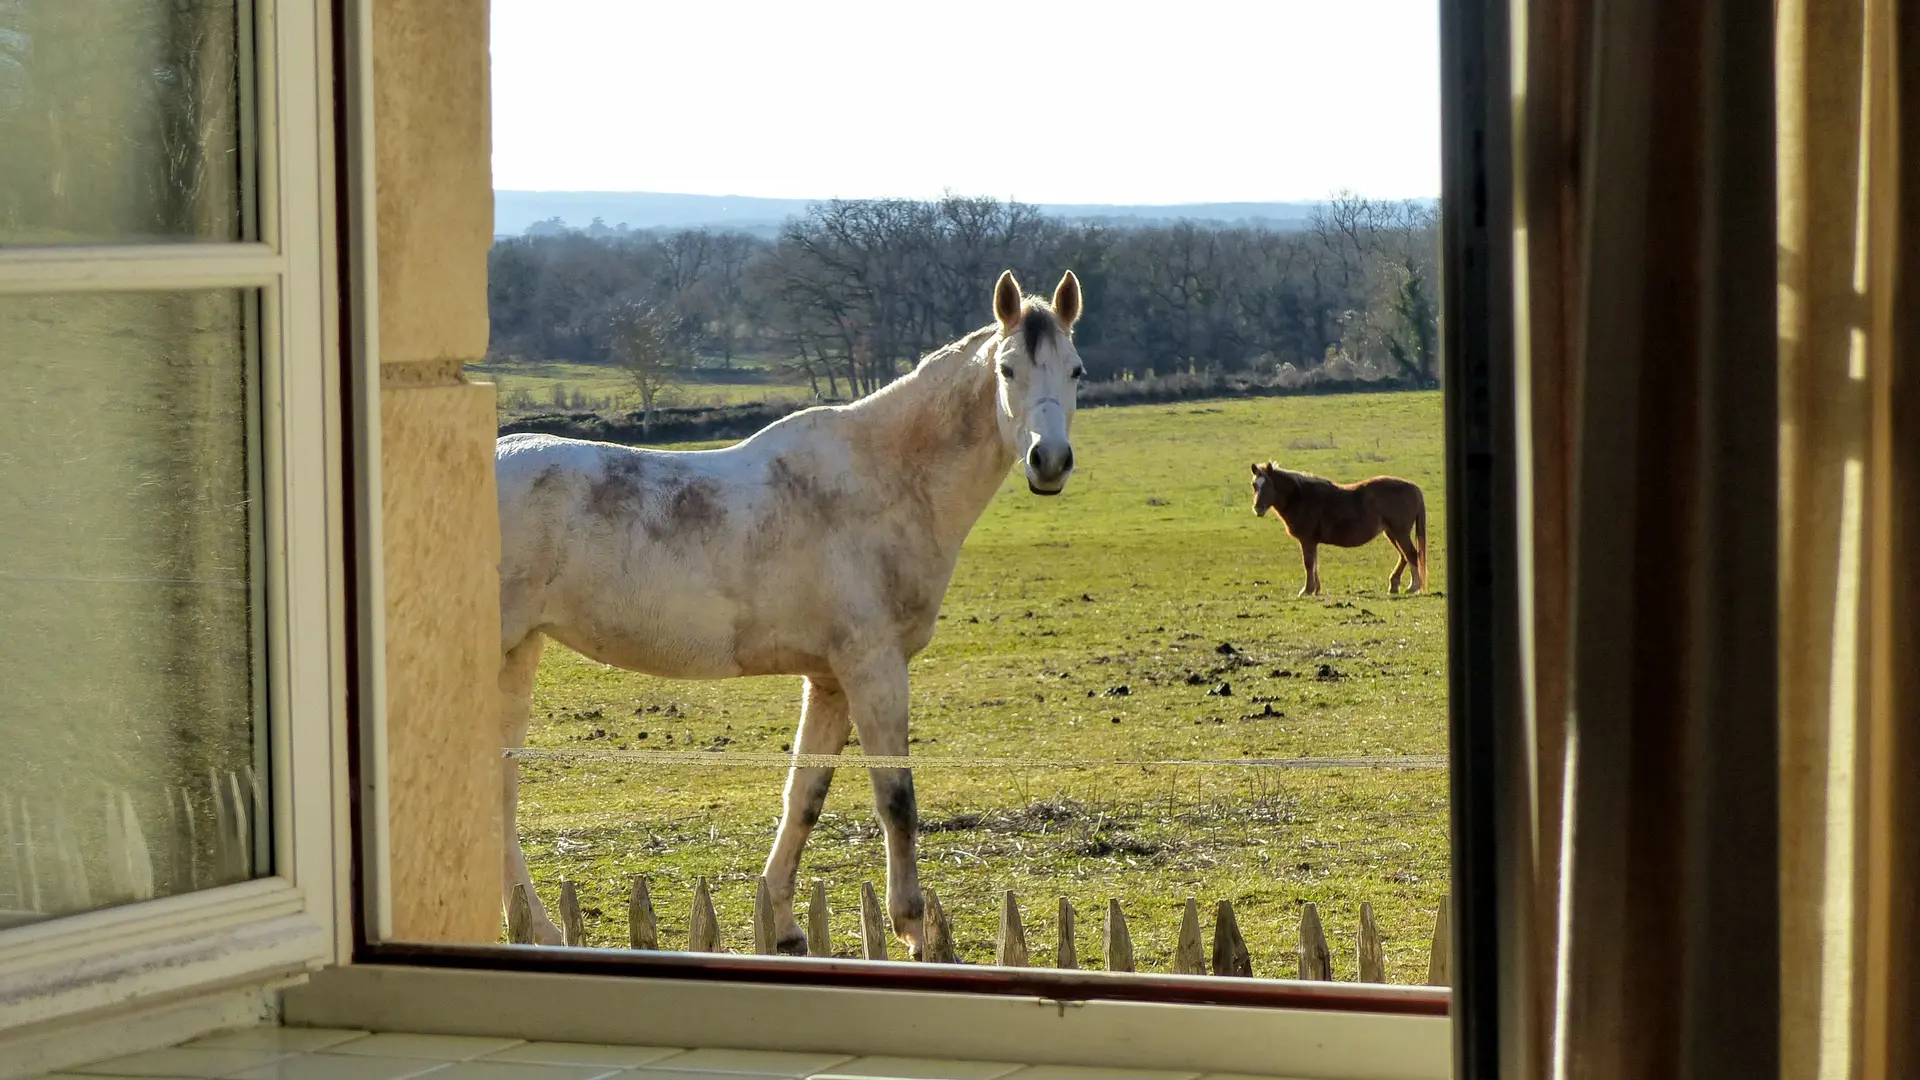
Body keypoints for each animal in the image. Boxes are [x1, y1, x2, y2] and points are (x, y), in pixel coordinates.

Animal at [495, 269, 1090, 949]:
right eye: (1008, 369)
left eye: (1075, 370)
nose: (1049, 461)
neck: (881, 482)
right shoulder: (874, 669)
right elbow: (896, 799)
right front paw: (913, 927)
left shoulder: (830, 681)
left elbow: (804, 795)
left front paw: (782, 925)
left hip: (518, 656)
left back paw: (534, 926)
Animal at [1251, 457, 1436, 591]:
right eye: (1254, 485)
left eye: (1269, 484)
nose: (1257, 508)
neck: (1302, 496)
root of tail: (1414, 487)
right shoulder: (1312, 541)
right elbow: (1315, 564)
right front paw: (1316, 589)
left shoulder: (1307, 540)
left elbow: (1309, 564)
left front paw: (1307, 590)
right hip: (1391, 532)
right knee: (1404, 556)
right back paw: (1395, 585)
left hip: (1399, 532)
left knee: (1411, 554)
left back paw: (1413, 587)